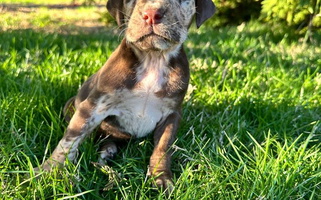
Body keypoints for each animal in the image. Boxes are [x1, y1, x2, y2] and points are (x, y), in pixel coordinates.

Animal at [35, 0, 215, 191]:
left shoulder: (172, 113)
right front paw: (49, 170)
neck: (153, 59)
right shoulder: (93, 106)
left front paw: (161, 178)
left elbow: (162, 147)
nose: (151, 14)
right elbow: (70, 138)